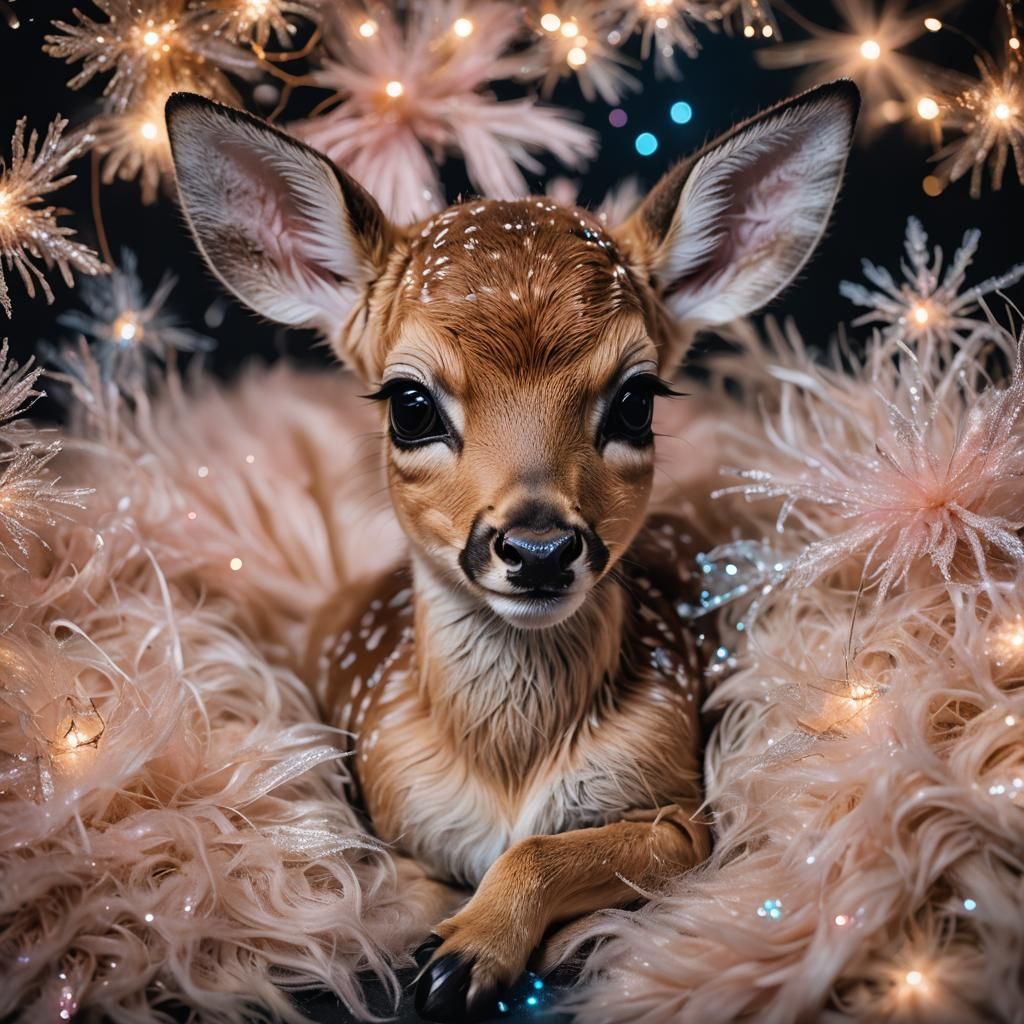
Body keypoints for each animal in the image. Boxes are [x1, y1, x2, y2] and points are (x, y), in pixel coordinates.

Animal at [165, 79, 858, 1021]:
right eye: (410, 404)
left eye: (637, 399)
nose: (538, 548)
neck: (507, 768)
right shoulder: (382, 811)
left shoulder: (685, 811)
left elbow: (545, 853)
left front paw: (468, 953)